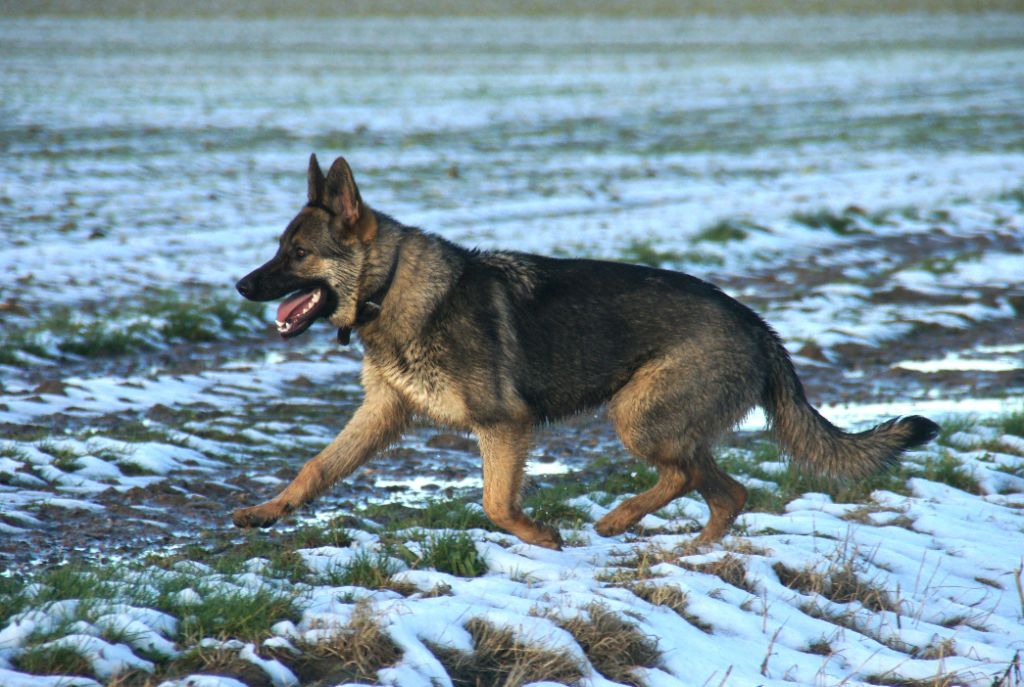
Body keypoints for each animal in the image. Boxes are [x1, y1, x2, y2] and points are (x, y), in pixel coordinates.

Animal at [232, 154, 937, 548]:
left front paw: (542, 537)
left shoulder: (504, 425)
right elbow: (316, 467)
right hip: (665, 425)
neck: (393, 286)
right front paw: (269, 512)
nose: (240, 285)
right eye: (278, 248)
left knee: (689, 479)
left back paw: (618, 521)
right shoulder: (382, 414)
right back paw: (688, 550)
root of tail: (758, 323)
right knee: (728, 493)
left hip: (637, 419)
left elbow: (495, 504)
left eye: (297, 253)